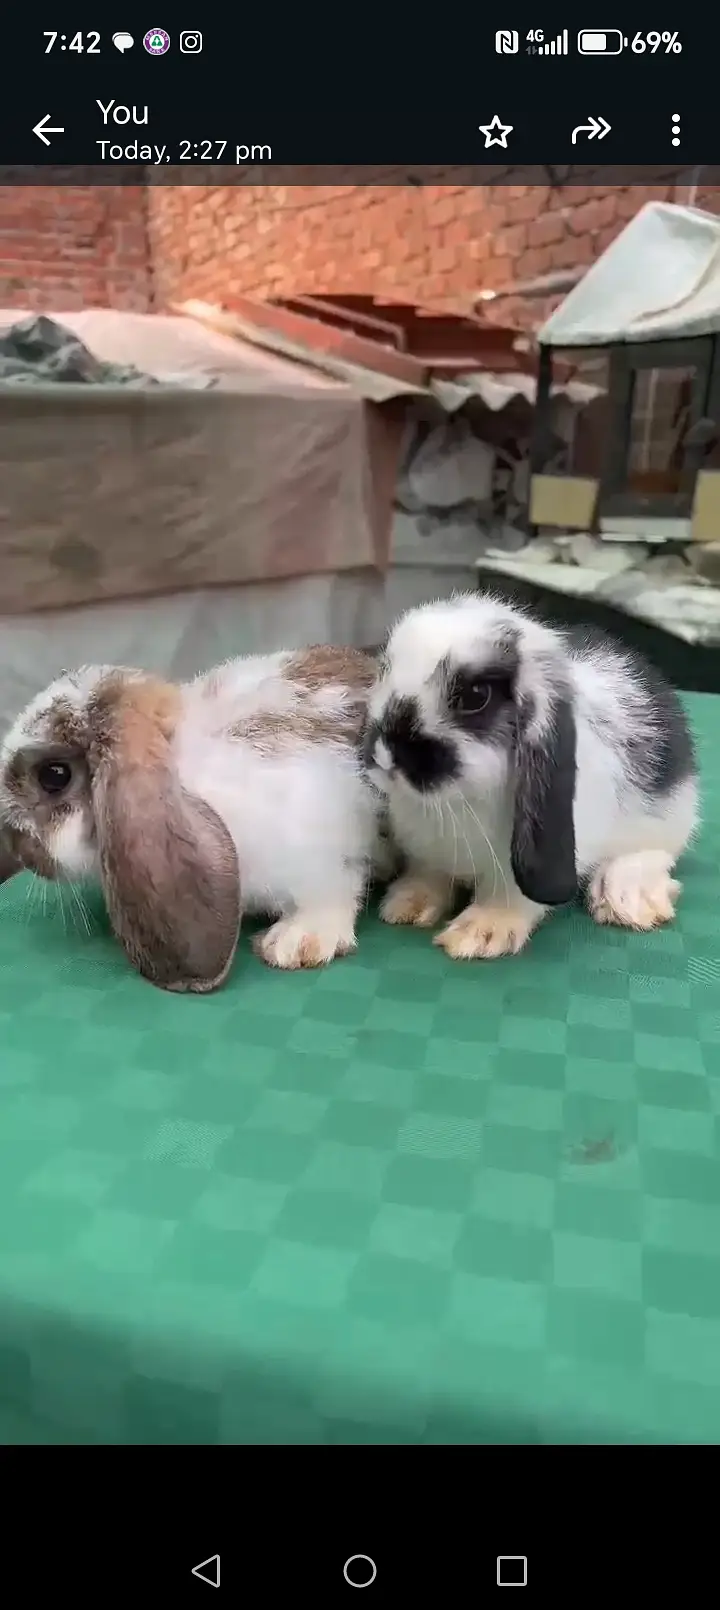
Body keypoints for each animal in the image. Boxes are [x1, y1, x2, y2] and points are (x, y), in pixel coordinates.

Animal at [362, 593, 699, 960]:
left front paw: (480, 933)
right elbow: (428, 873)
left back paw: (627, 899)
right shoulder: (427, 852)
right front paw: (407, 904)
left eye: (476, 696)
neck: (457, 801)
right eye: (385, 669)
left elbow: (509, 895)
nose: (385, 753)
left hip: (668, 820)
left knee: (654, 854)